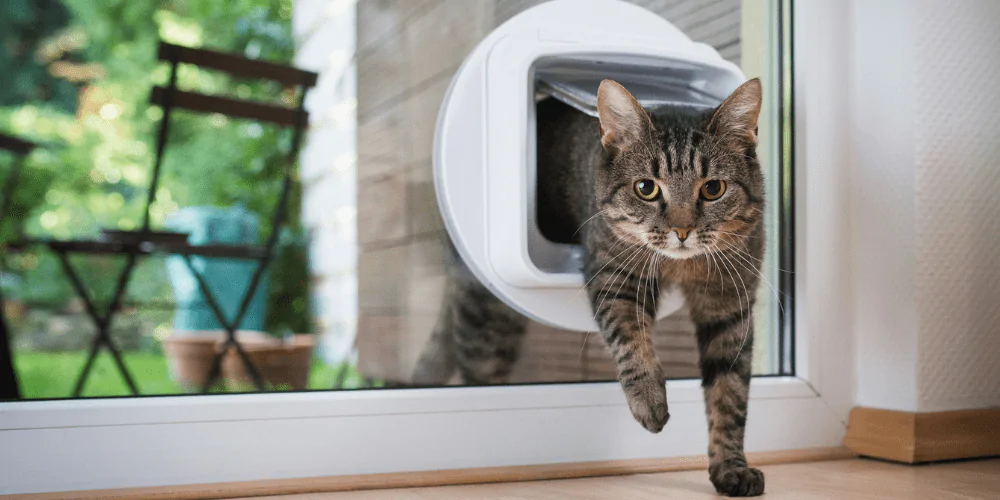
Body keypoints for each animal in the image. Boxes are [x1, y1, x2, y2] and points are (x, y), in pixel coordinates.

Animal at [414, 79, 764, 496]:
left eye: (713, 188)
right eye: (646, 188)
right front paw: (649, 400)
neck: (680, 267)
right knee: (479, 371)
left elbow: (730, 393)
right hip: (486, 318)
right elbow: (631, 341)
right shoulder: (615, 277)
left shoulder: (730, 305)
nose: (682, 231)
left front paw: (731, 467)